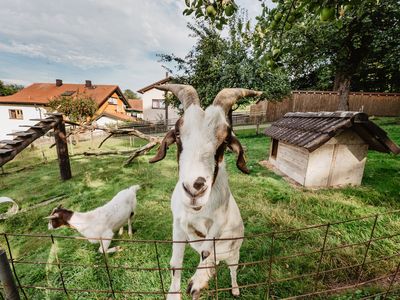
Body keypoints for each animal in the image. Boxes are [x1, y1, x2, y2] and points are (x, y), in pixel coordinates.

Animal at [151, 84, 262, 300]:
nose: (195, 188)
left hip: (235, 252)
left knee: (232, 269)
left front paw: (197, 283)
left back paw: (234, 289)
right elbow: (176, 263)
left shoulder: (218, 224)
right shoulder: (178, 223)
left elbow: (206, 251)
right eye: (177, 134)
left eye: (225, 140)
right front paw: (175, 294)